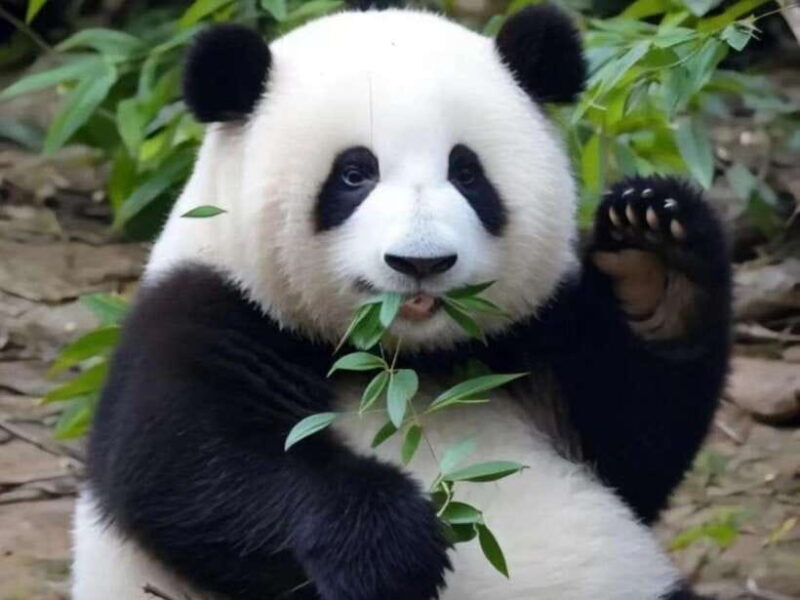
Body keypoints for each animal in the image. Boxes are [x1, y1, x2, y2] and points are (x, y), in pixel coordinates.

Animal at [71, 5, 731, 600]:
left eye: (467, 173)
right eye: (353, 174)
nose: (421, 262)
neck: (403, 365)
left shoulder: (532, 335)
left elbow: (636, 446)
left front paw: (653, 266)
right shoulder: (209, 308)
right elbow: (184, 468)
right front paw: (388, 546)